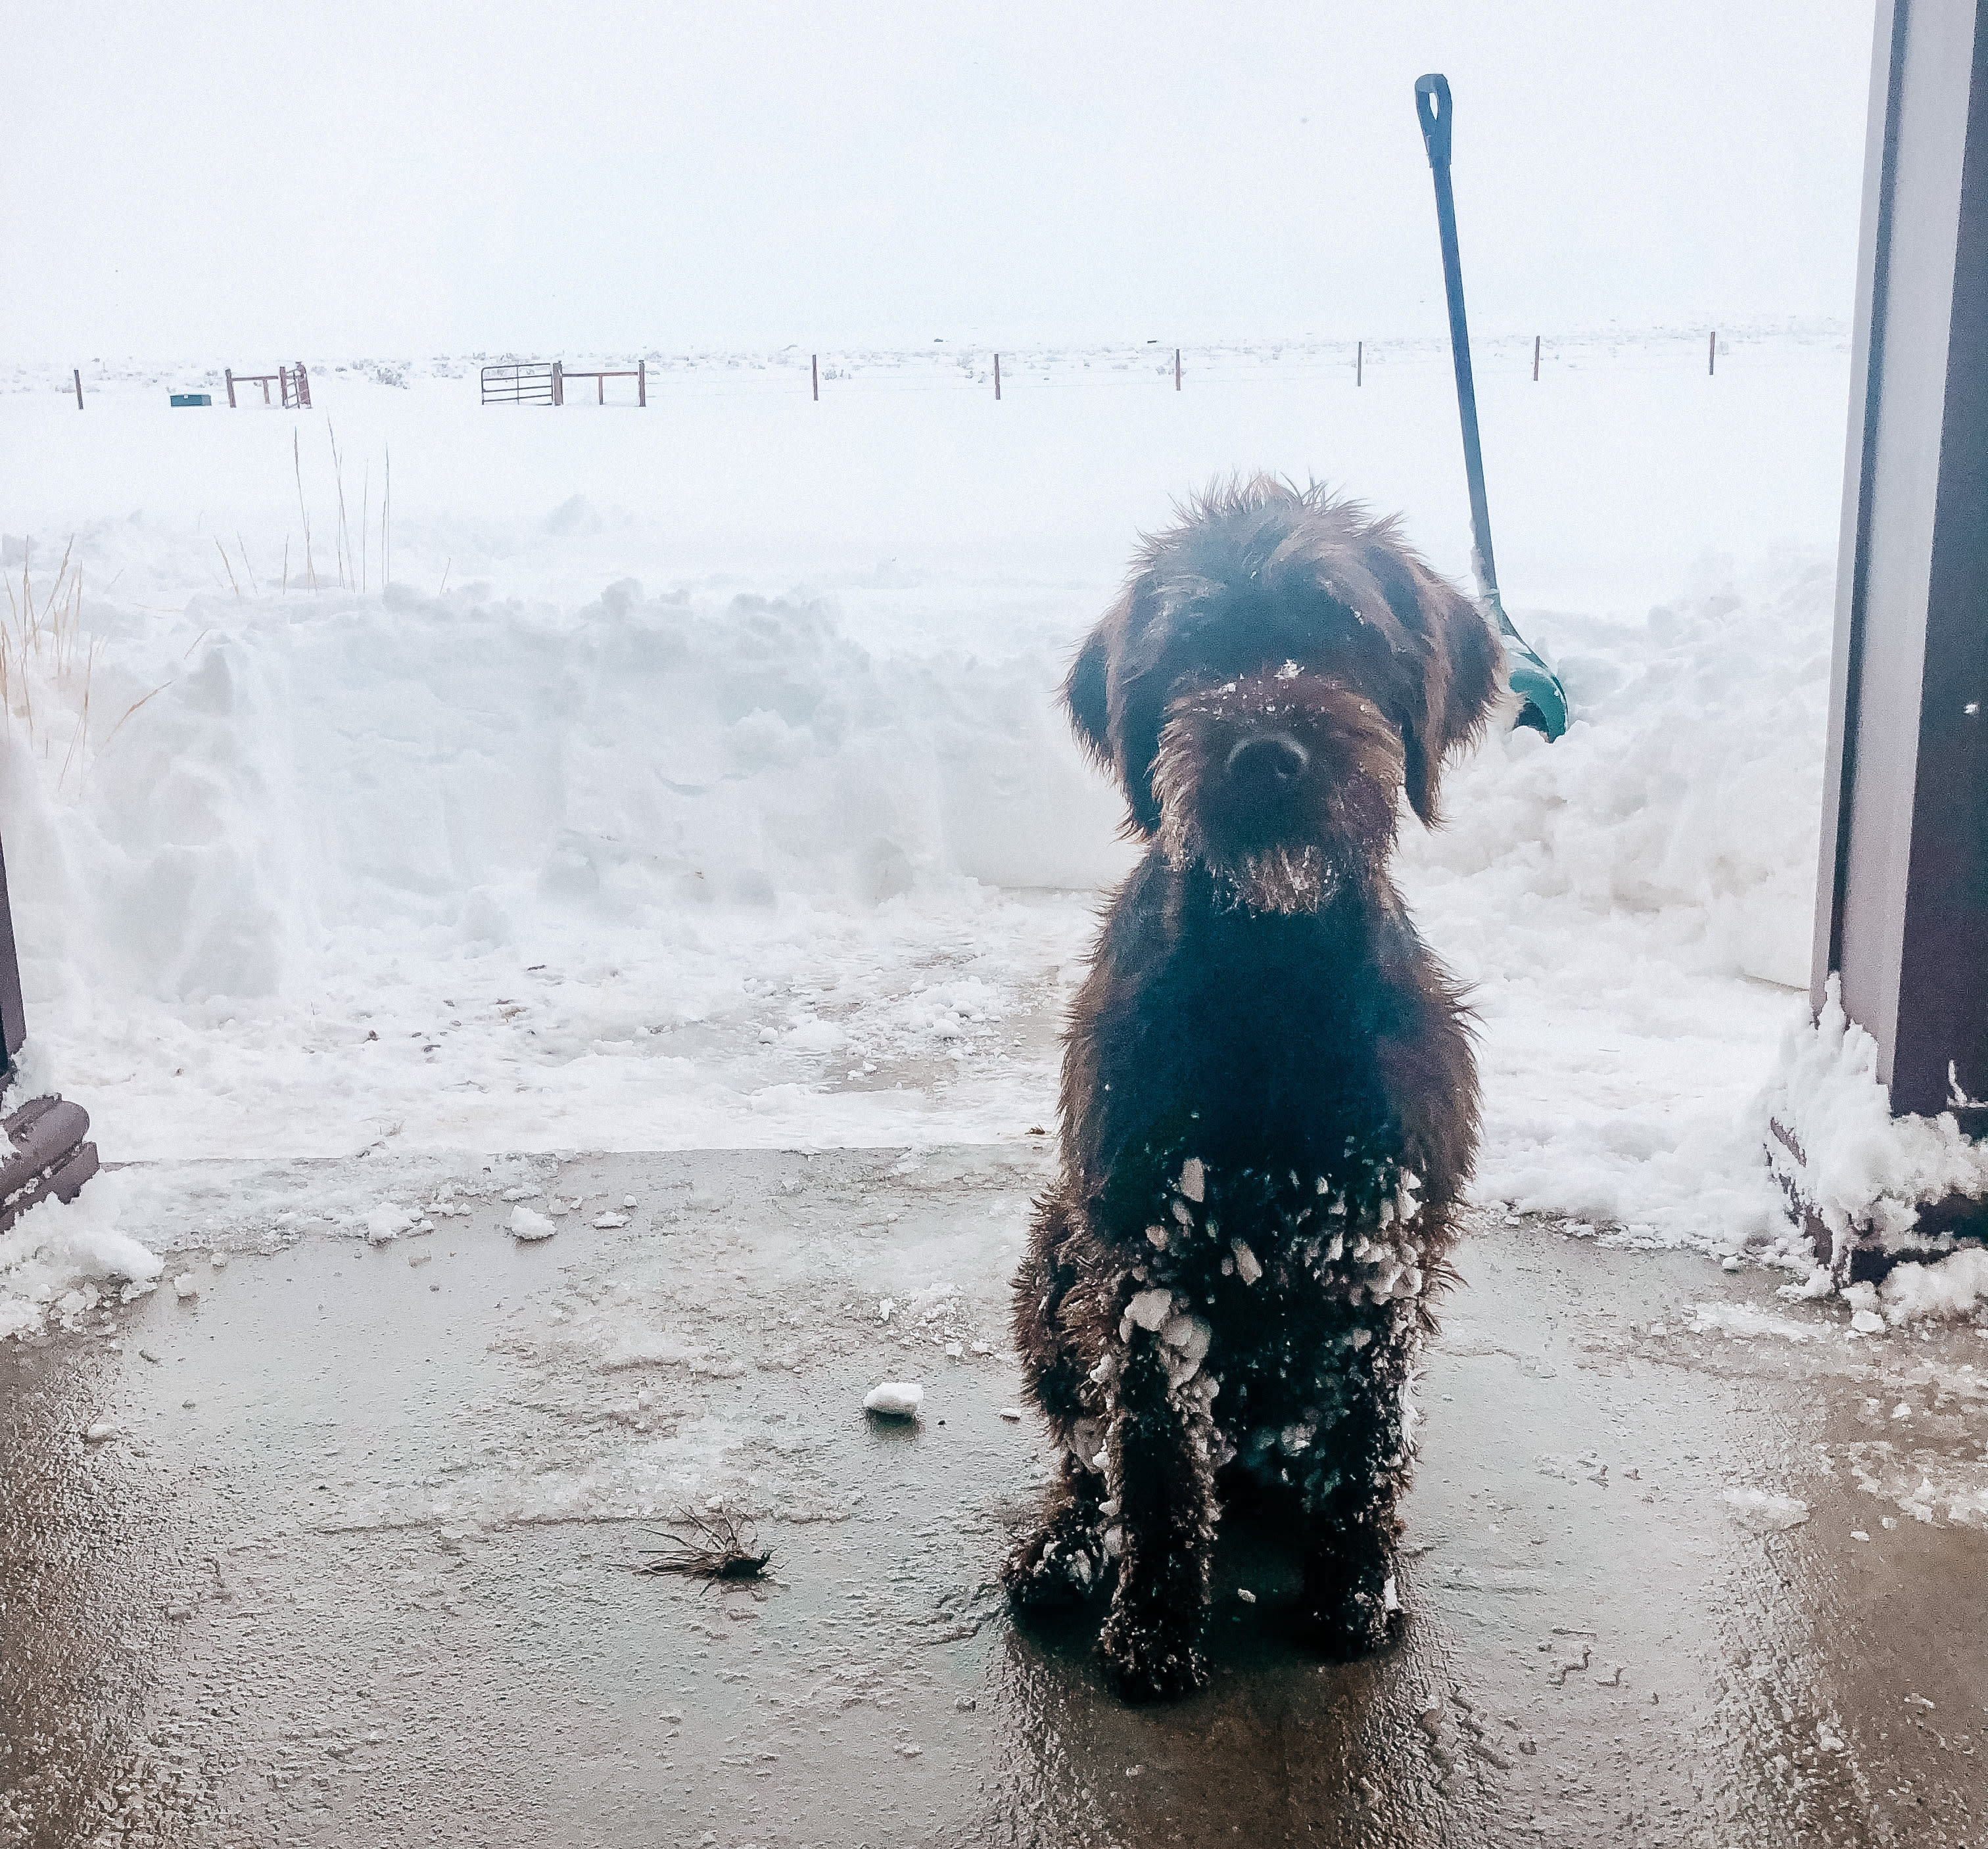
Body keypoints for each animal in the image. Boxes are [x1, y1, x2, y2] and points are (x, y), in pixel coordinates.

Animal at [1002, 475, 1495, 1702]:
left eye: (1343, 629)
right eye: (1189, 651)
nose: (1266, 752)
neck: (1271, 970)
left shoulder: (1380, 1243)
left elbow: (1366, 1443)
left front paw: (1353, 1598)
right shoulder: (1145, 1257)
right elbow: (1155, 1463)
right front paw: (1152, 1634)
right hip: (1051, 1261)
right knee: (1089, 1460)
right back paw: (1067, 1550)